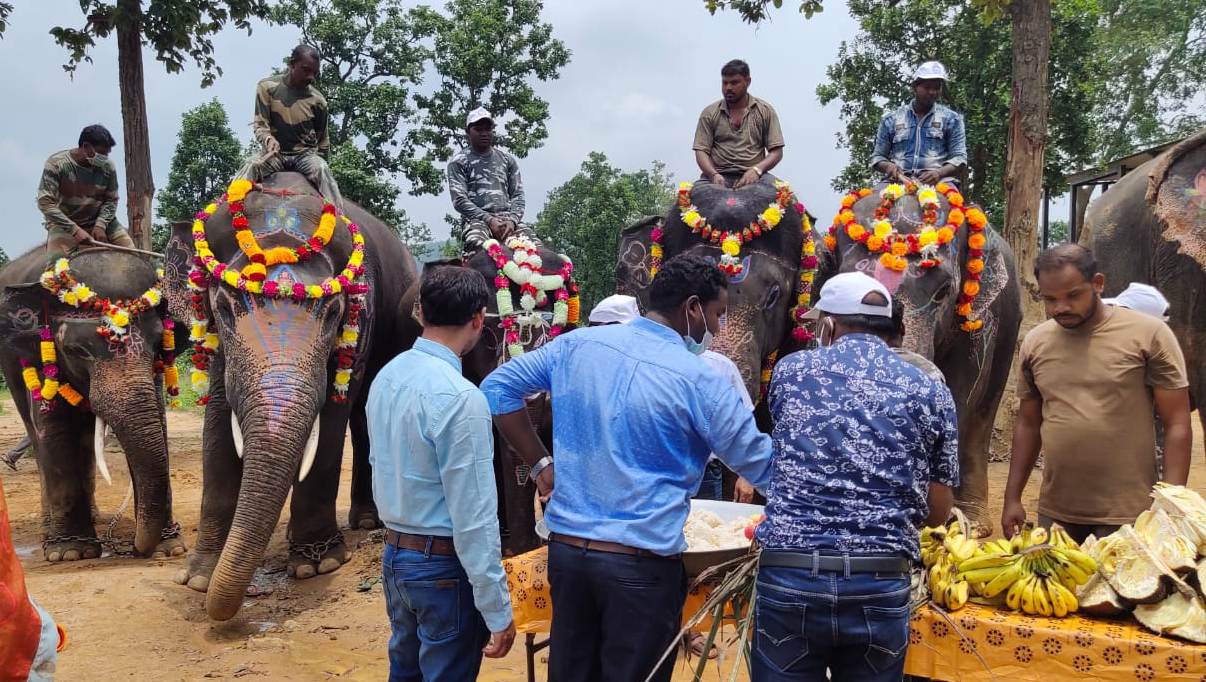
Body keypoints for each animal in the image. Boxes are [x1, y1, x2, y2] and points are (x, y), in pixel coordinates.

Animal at [0, 248, 185, 563]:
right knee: (37, 433)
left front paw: (170, 547)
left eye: (159, 344)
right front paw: (70, 553)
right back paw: (51, 530)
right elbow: (55, 429)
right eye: (76, 350)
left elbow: (157, 423)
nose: (133, 549)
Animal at [164, 171, 419, 621]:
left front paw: (317, 565)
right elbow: (218, 412)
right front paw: (198, 578)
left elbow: (334, 411)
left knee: (363, 413)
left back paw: (367, 524)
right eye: (224, 307)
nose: (222, 609)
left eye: (334, 313)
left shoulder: (363, 312)